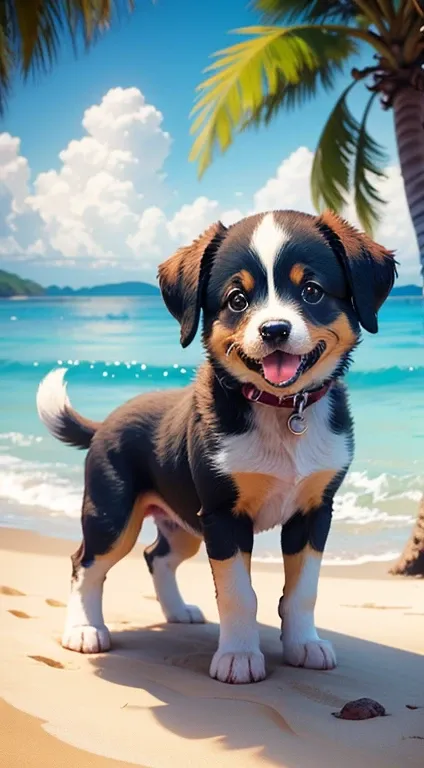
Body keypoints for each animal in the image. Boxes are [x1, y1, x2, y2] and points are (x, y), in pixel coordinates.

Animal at [35, 208, 394, 684]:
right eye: (237, 300)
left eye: (312, 291)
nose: (274, 329)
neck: (281, 410)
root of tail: (105, 423)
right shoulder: (223, 516)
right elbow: (239, 593)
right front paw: (239, 656)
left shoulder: (314, 512)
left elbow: (303, 590)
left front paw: (304, 644)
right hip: (112, 514)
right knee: (85, 563)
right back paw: (84, 629)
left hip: (185, 522)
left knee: (156, 556)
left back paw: (177, 611)